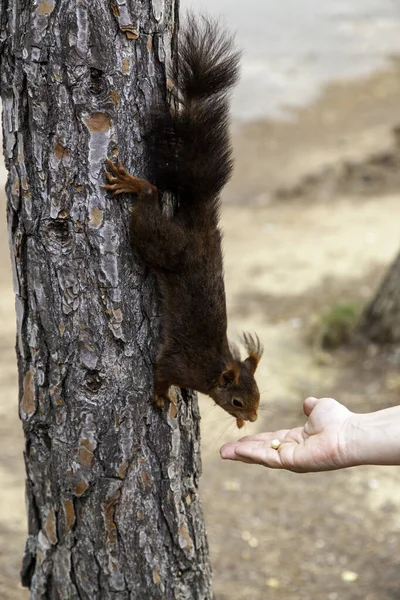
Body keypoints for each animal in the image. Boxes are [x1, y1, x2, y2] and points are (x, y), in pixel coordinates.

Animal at [104, 12, 264, 426]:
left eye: (259, 396)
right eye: (237, 400)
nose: (251, 419)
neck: (212, 370)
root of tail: (200, 224)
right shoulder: (180, 364)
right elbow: (161, 372)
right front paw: (161, 396)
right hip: (160, 243)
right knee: (150, 199)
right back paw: (136, 185)